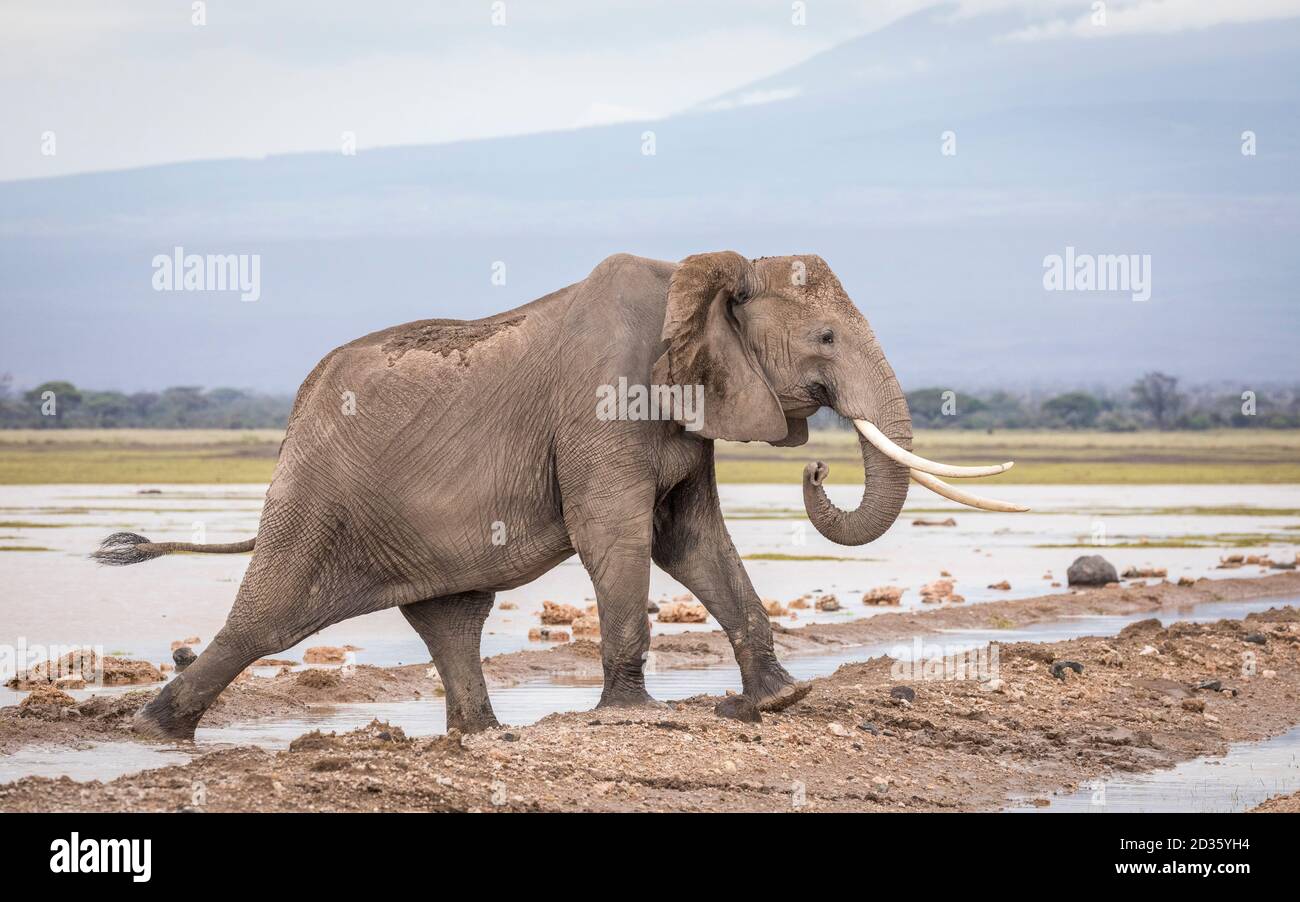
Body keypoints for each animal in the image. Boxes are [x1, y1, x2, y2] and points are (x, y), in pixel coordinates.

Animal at [98, 249, 1013, 743]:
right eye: (823, 337)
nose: (818, 469)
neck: (701, 273)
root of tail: (296, 412)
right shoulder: (606, 399)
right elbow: (618, 535)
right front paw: (633, 714)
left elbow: (693, 542)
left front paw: (779, 699)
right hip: (316, 491)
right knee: (267, 617)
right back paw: (153, 731)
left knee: (452, 619)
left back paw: (481, 736)